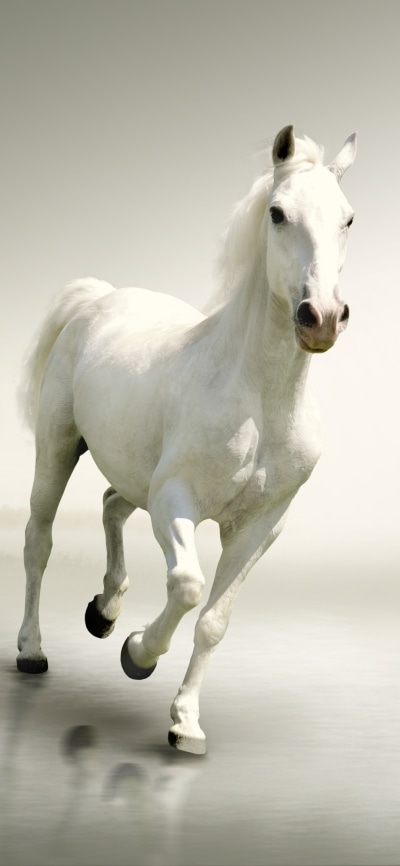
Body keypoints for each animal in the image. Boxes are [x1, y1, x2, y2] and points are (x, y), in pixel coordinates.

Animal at [16, 125, 357, 755]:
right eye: (277, 213)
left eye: (347, 217)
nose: (321, 317)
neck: (259, 401)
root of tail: (99, 298)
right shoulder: (176, 502)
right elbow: (188, 585)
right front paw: (137, 654)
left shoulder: (260, 527)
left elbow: (215, 621)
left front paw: (186, 724)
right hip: (57, 448)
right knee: (38, 540)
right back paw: (32, 649)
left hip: (134, 473)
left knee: (110, 503)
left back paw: (104, 611)